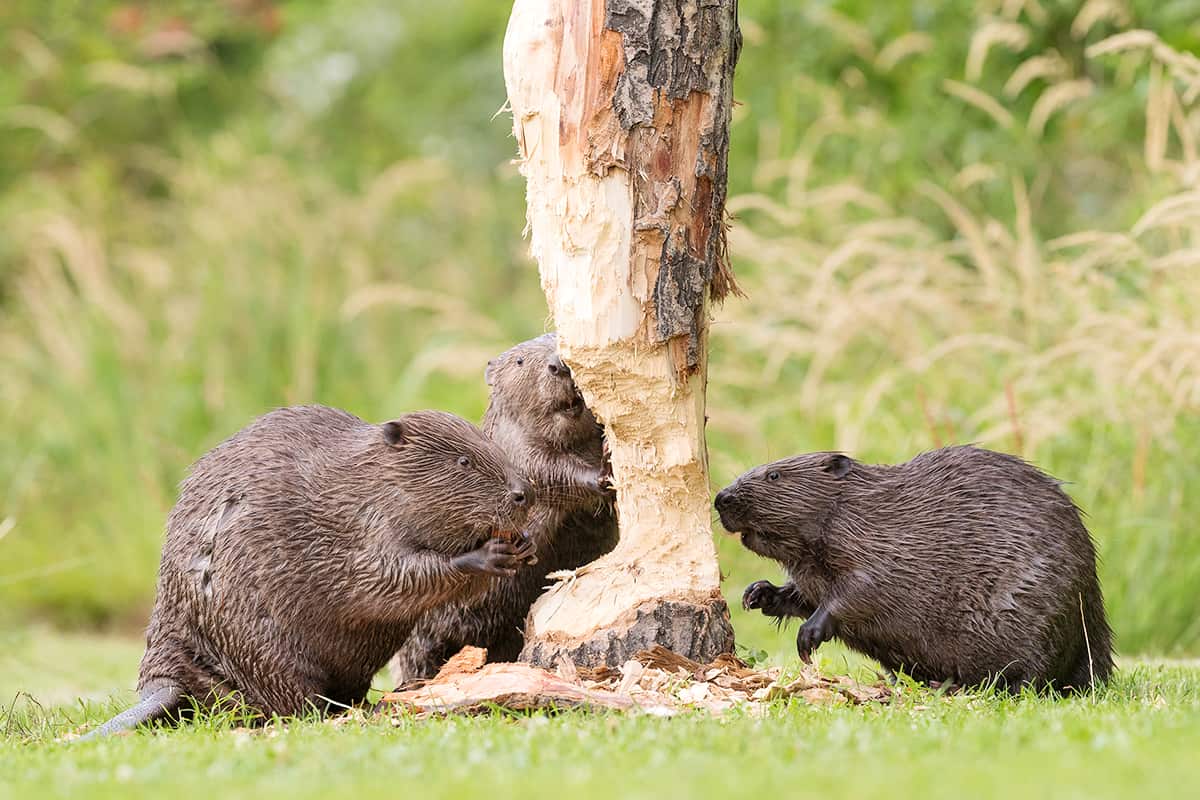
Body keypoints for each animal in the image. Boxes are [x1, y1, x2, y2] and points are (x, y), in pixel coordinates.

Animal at [81, 407, 535, 738]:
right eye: (463, 460)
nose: (523, 494)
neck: (369, 480)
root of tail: (164, 682)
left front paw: (524, 544)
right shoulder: (358, 526)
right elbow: (384, 578)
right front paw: (487, 554)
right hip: (260, 644)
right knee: (292, 702)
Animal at [388, 335, 619, 686]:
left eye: (559, 338)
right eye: (521, 360)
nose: (559, 365)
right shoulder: (513, 449)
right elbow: (548, 472)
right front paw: (602, 473)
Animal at [710, 443, 1113, 695]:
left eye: (774, 476)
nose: (721, 498)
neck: (855, 508)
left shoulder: (882, 544)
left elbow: (862, 590)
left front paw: (809, 636)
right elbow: (803, 595)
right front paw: (757, 594)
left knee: (1036, 678)